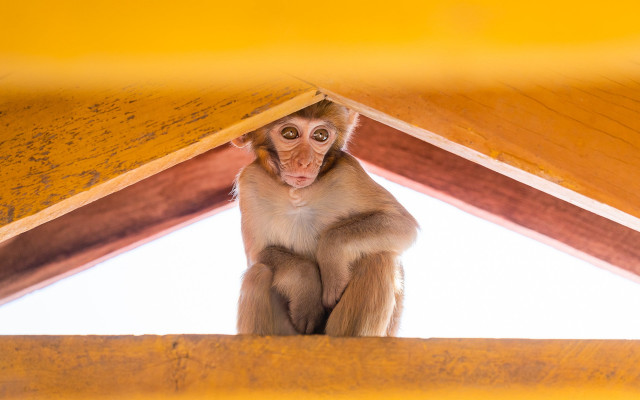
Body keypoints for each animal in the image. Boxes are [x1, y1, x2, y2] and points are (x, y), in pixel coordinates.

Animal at [232, 100, 418, 336]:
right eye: (290, 133)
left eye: (320, 135)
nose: (305, 162)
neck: (297, 192)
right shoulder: (250, 182)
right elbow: (257, 255)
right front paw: (306, 286)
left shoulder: (349, 172)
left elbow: (402, 224)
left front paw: (332, 256)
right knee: (259, 272)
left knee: (379, 258)